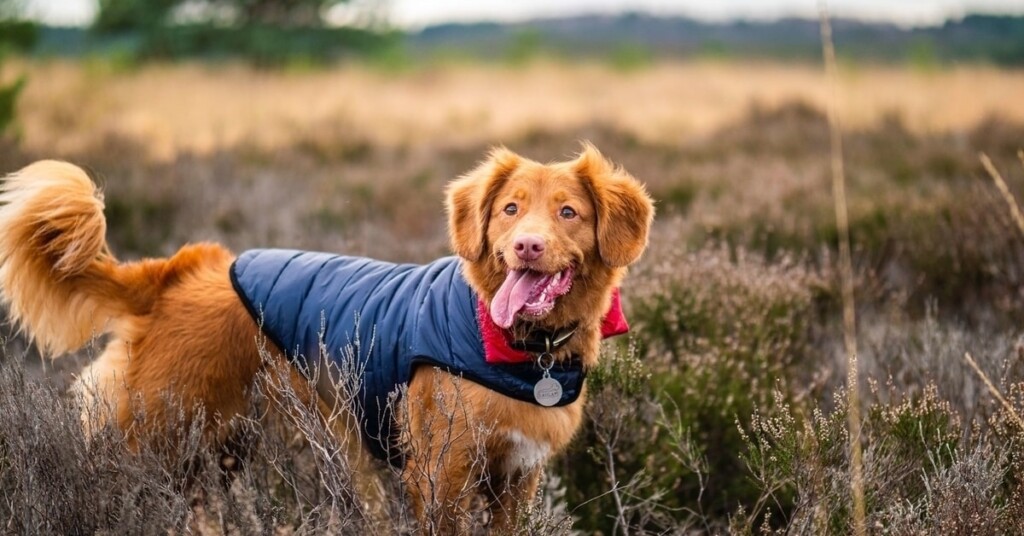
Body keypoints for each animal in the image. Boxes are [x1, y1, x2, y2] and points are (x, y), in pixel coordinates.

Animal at [0, 143, 651, 532]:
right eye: (511, 209)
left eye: (568, 213)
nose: (526, 246)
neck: (514, 345)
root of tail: (175, 272)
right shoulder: (441, 472)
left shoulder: (518, 478)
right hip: (158, 435)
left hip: (220, 449)